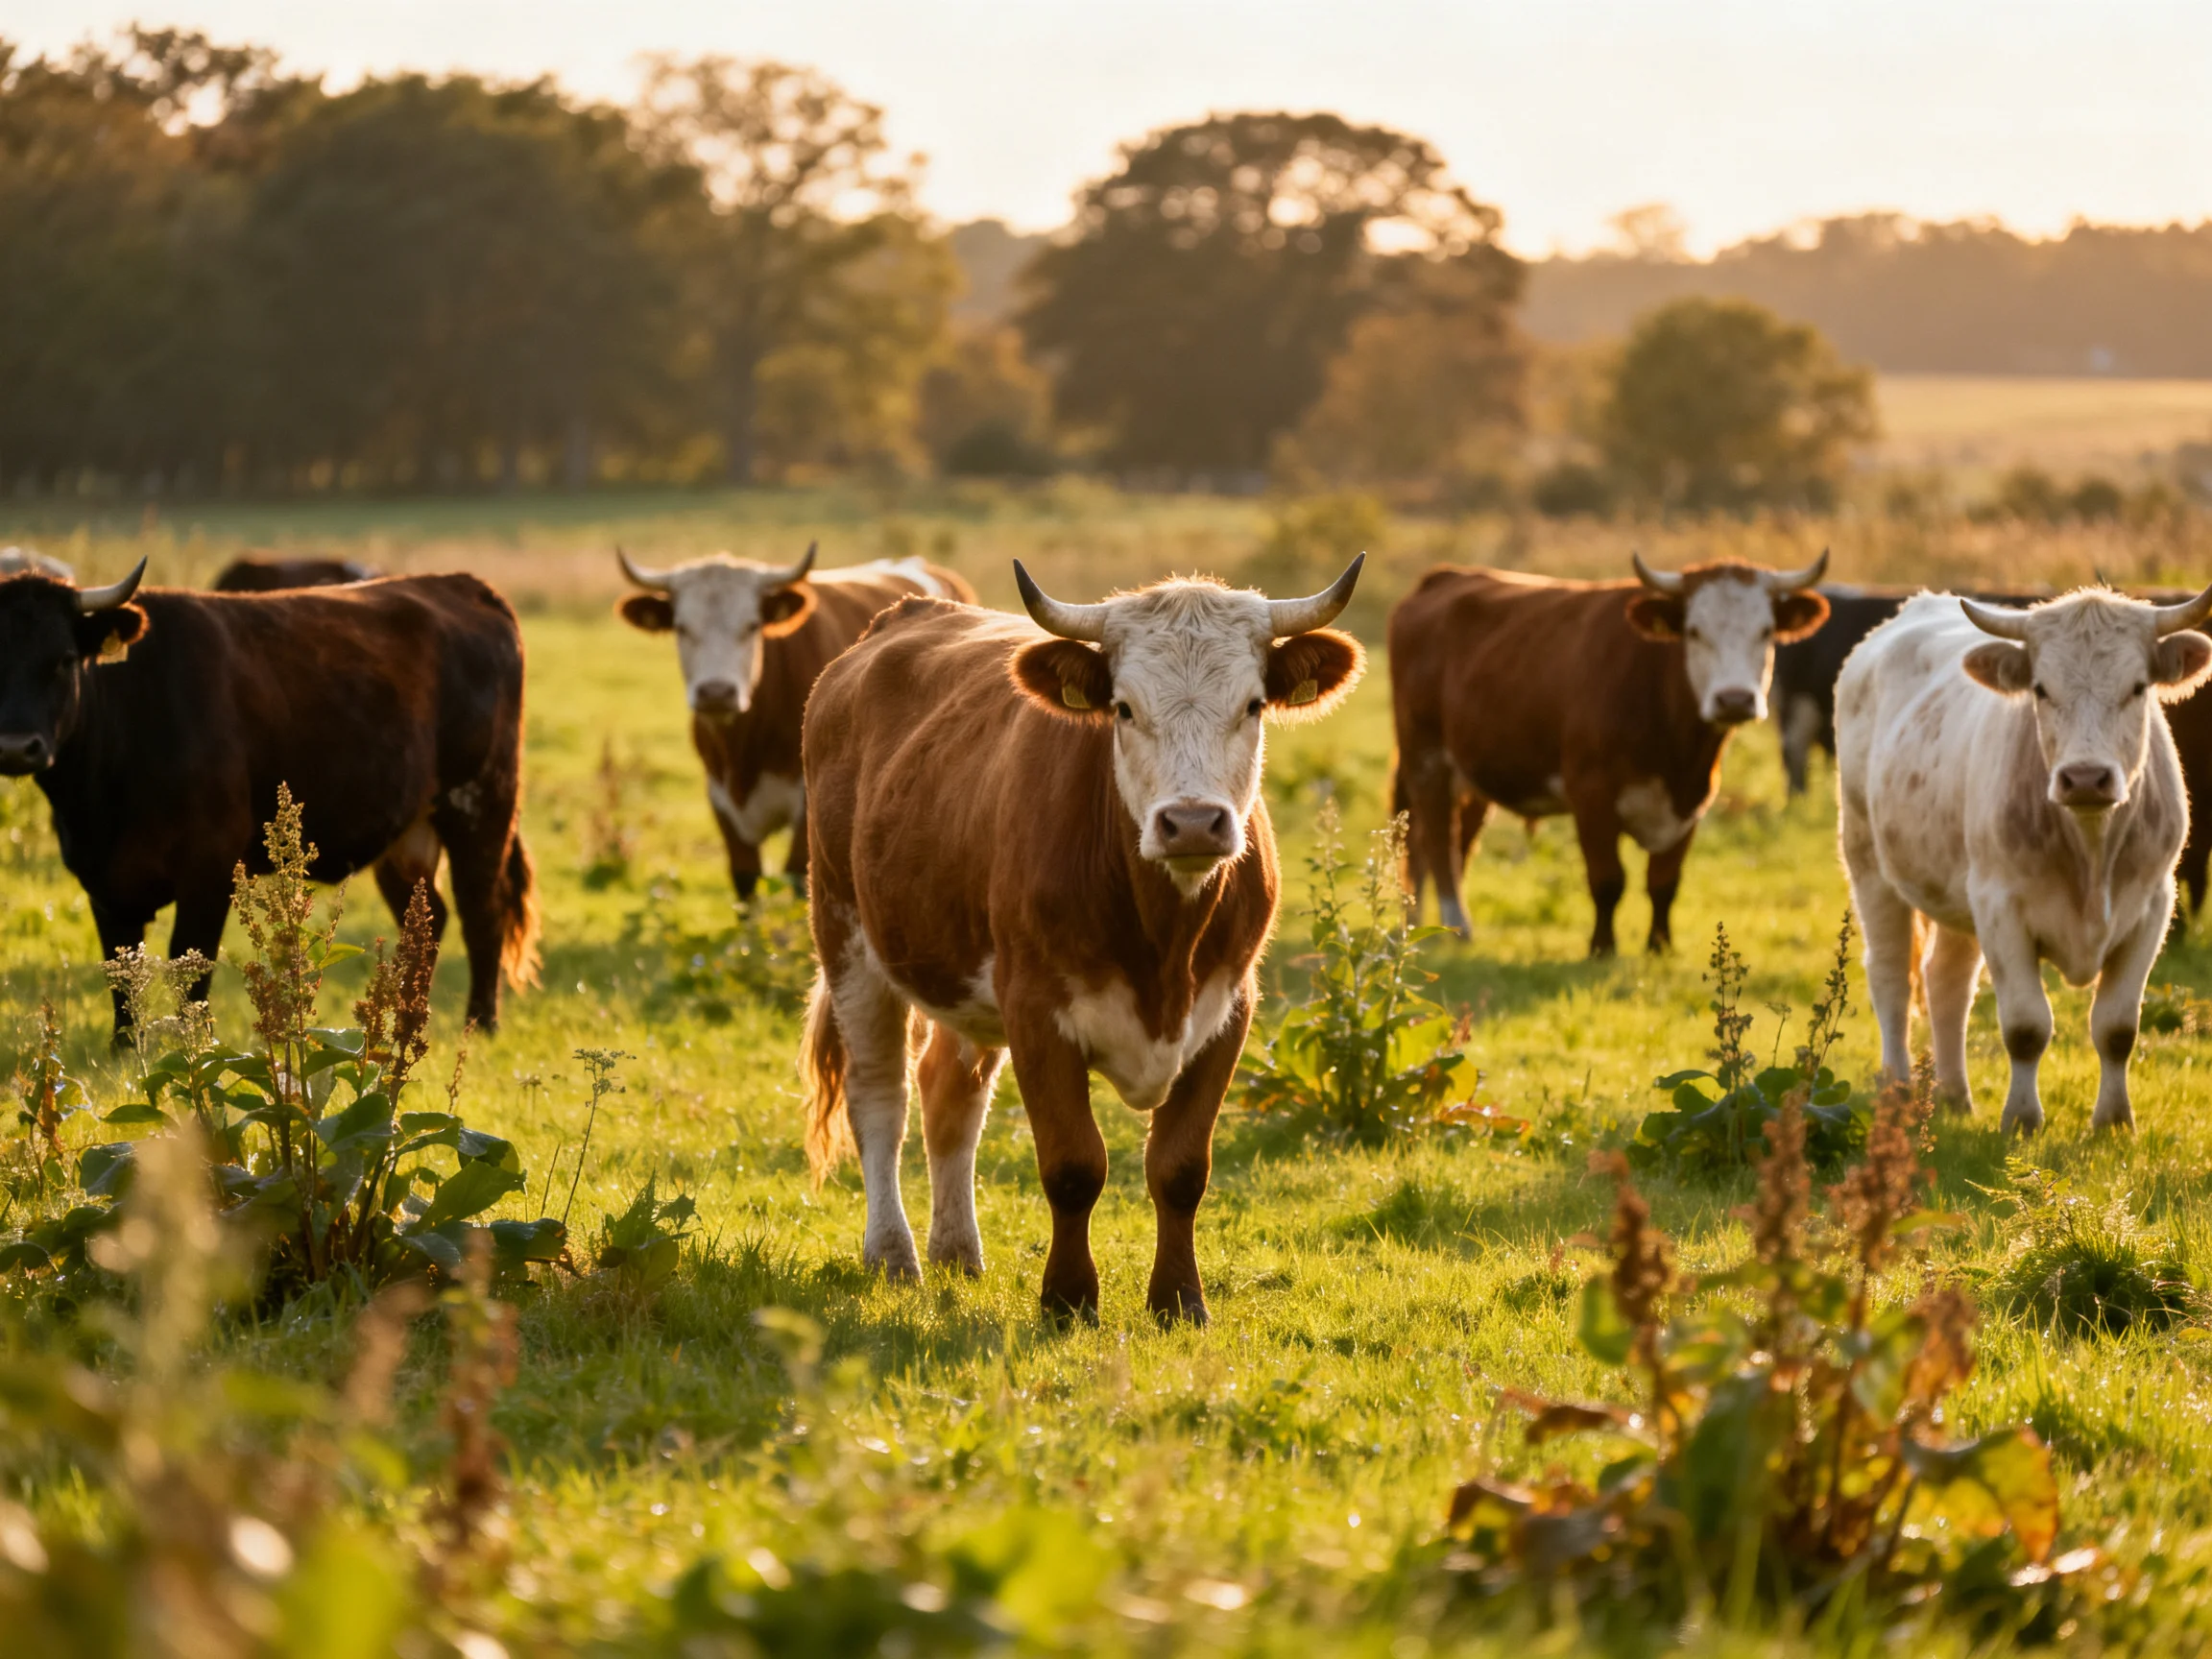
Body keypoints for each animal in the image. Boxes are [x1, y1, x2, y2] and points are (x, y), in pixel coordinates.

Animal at [0, 564, 539, 1038]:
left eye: (65, 659)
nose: (16, 747)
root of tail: (463, 584)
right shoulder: (104, 885)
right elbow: (123, 984)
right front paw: (125, 1051)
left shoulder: (209, 871)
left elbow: (192, 974)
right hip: (408, 832)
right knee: (427, 921)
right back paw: (408, 1021)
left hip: (482, 803)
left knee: (482, 913)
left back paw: (481, 1024)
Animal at [615, 544, 973, 900]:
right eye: (682, 627)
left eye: (752, 625)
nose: (716, 692)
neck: (744, 750)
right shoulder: (721, 801)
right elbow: (746, 883)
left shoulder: (808, 808)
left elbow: (797, 878)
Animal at [798, 557, 1367, 1324]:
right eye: (1123, 708)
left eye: (1252, 705)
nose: (1192, 823)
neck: (1163, 946)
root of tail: (903, 617)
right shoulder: (1036, 1008)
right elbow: (1073, 1165)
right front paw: (1067, 1300)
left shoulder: (1229, 1010)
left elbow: (1180, 1168)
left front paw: (1179, 1301)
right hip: (847, 935)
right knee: (880, 1100)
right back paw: (894, 1255)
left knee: (950, 1095)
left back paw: (958, 1252)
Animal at [1389, 552, 1831, 955]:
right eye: (1694, 631)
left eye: (1766, 631)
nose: (1734, 700)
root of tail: (1445, 576)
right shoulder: (1591, 795)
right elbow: (1607, 880)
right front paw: (1602, 947)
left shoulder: (1692, 802)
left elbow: (1664, 882)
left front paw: (1659, 946)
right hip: (1425, 757)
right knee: (1436, 841)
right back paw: (1455, 924)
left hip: (1472, 772)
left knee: (1447, 842)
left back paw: (1421, 925)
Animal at [1835, 584, 2212, 1133]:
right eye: (2041, 689)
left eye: (2138, 687)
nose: (2085, 778)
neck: (2090, 850)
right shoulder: (2001, 907)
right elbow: (2026, 1026)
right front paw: (2021, 1120)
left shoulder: (2152, 906)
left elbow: (2118, 1027)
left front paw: (2114, 1121)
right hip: (1869, 862)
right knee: (1891, 977)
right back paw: (1899, 1092)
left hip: (1954, 892)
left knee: (1947, 982)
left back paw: (1954, 1095)